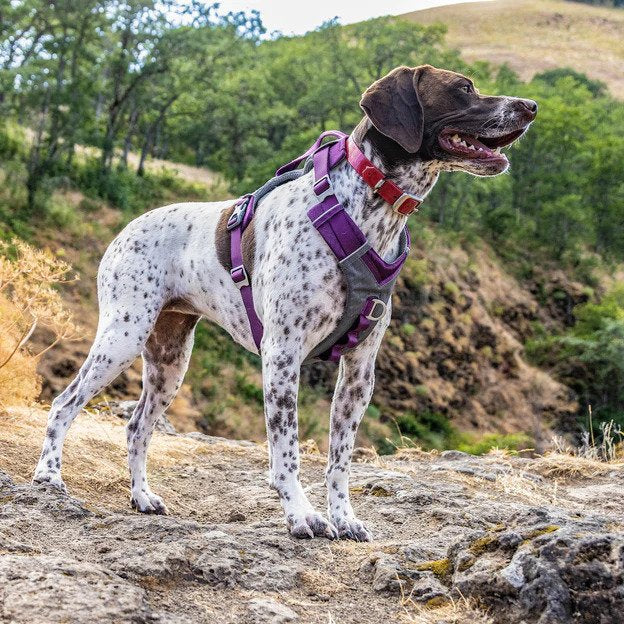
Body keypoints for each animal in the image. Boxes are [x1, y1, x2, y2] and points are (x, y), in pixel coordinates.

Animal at [33, 64, 536, 540]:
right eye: (463, 88)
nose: (531, 106)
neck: (363, 212)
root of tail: (125, 230)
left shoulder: (359, 372)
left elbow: (340, 460)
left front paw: (343, 518)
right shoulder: (282, 356)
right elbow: (287, 453)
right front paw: (302, 515)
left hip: (169, 361)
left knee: (137, 426)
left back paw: (141, 496)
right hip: (122, 336)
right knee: (64, 403)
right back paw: (49, 475)